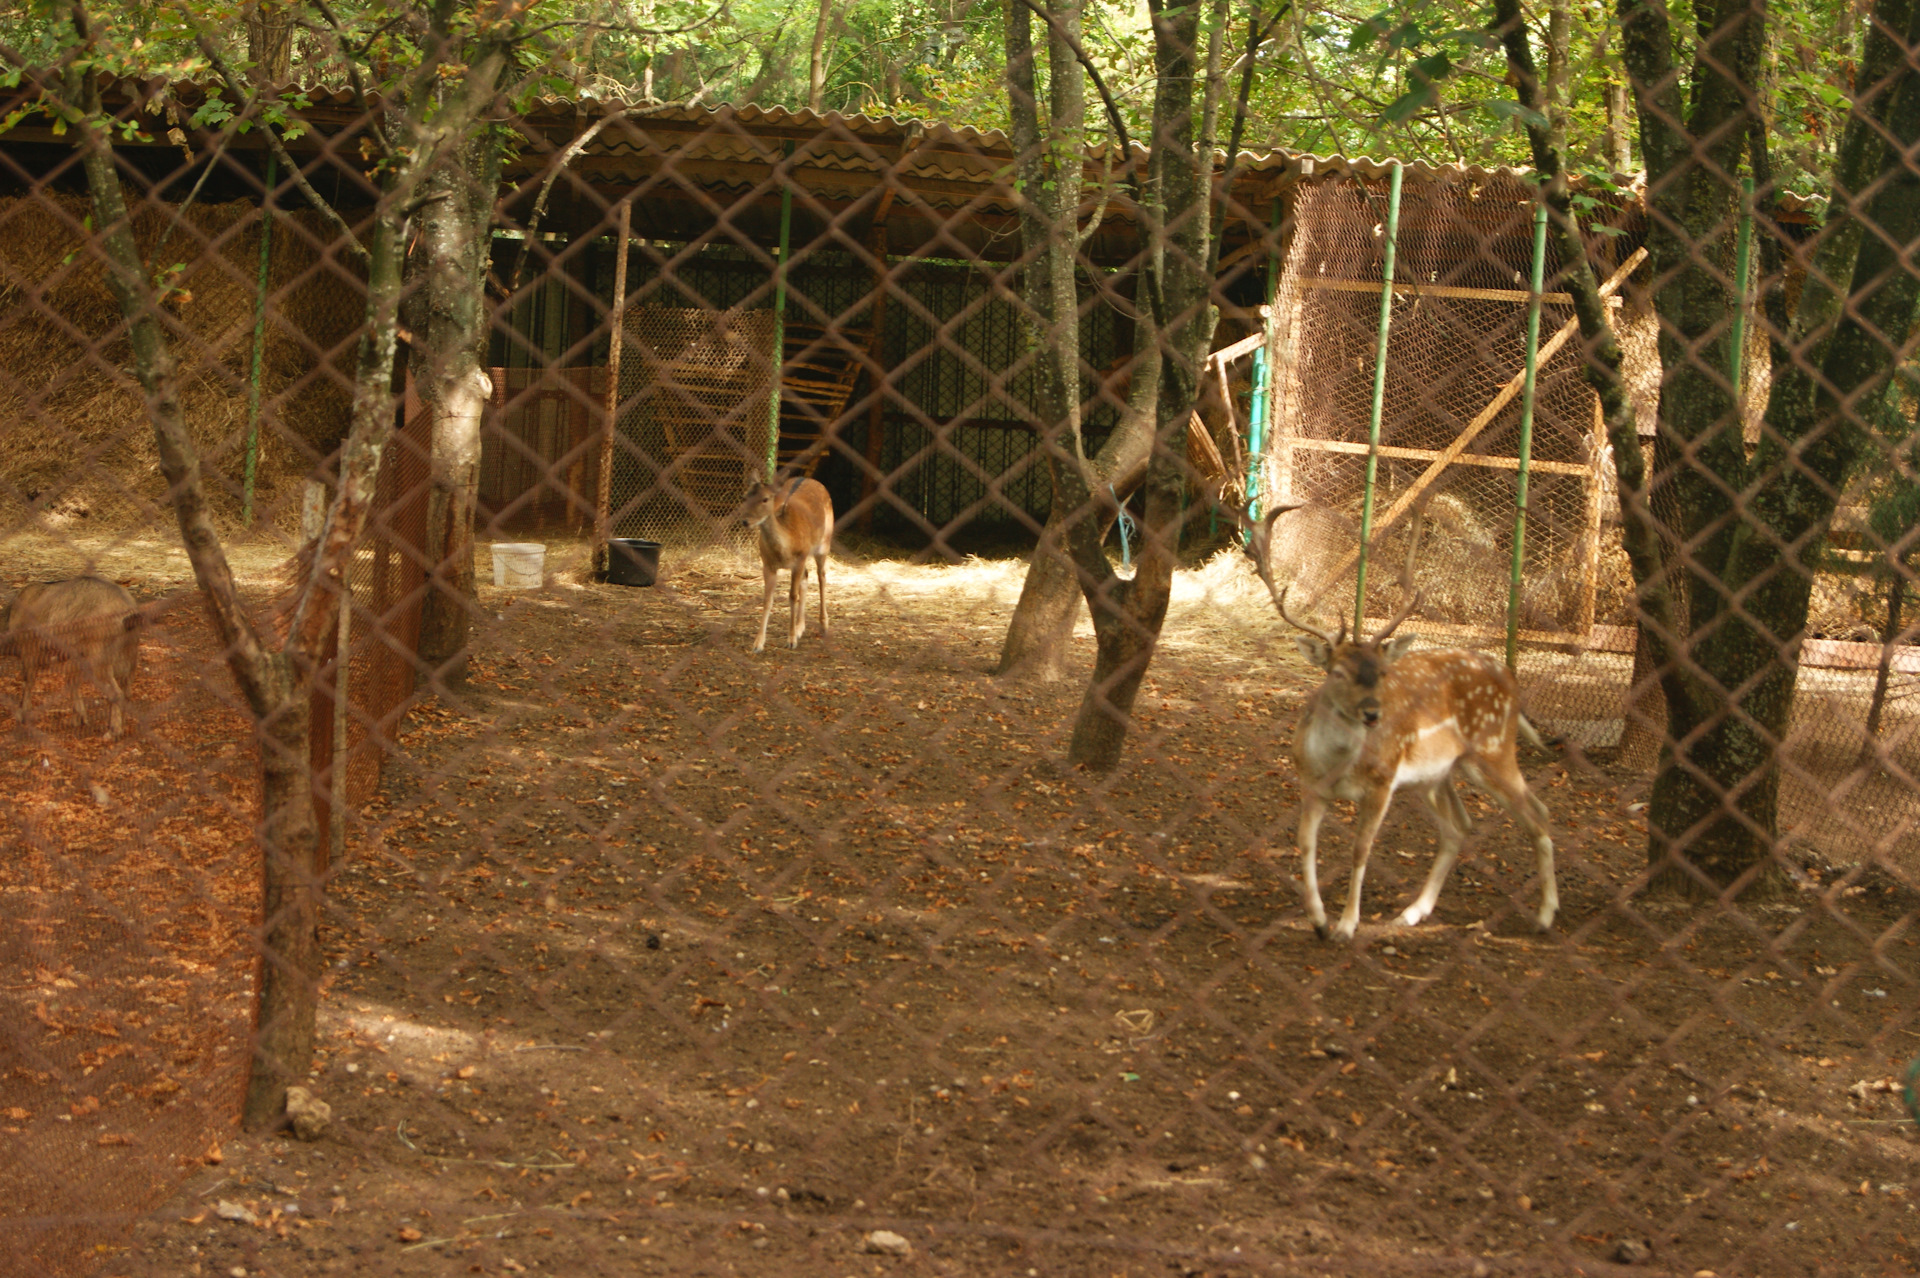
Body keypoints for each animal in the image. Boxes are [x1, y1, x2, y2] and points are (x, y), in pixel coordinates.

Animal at [0, 575, 144, 736]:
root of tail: (126, 613)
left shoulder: (29, 652)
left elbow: (28, 682)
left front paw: (23, 713)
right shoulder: (73, 659)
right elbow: (72, 684)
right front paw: (79, 719)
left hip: (101, 657)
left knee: (116, 692)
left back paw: (114, 732)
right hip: (128, 655)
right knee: (127, 690)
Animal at [741, 479, 833, 656]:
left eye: (765, 499)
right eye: (745, 497)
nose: (745, 521)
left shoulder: (800, 557)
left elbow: (792, 596)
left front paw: (791, 640)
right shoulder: (768, 564)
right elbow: (767, 599)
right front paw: (758, 644)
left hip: (824, 543)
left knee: (822, 576)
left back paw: (824, 624)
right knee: (807, 576)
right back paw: (800, 627)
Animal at [1228, 502, 1559, 940]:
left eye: (1382, 672)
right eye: (1337, 672)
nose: (1373, 712)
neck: (1338, 765)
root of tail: (1509, 678)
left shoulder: (1383, 783)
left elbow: (1360, 850)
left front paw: (1346, 925)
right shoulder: (1310, 784)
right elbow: (1304, 843)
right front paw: (1318, 919)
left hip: (1492, 750)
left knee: (1538, 814)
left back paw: (1545, 915)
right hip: (1436, 775)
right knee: (1460, 827)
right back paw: (1412, 912)